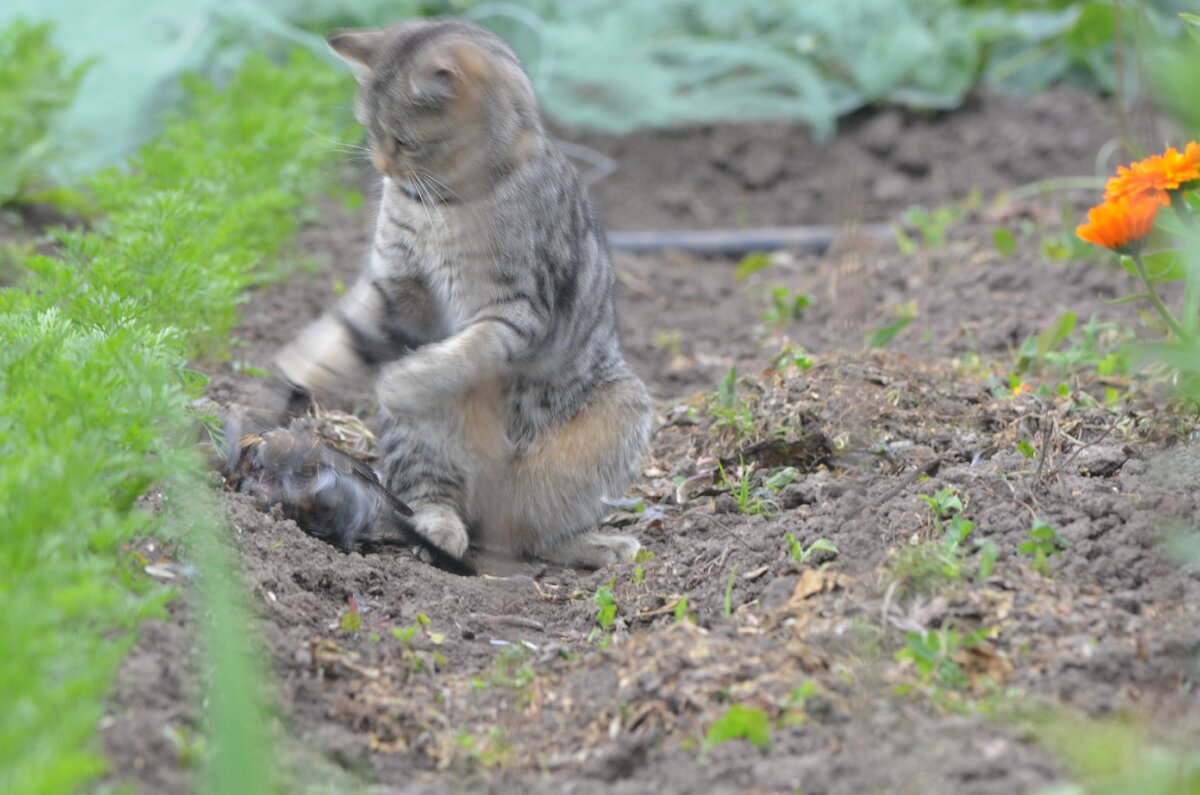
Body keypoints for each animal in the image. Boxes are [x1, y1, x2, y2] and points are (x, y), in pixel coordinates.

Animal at [271, 18, 652, 574]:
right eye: (368, 130)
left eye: (404, 141)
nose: (381, 165)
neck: (444, 204)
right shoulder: (401, 293)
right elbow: (348, 330)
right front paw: (301, 365)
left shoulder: (516, 311)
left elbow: (463, 352)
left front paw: (402, 380)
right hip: (423, 439)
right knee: (438, 499)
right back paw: (440, 529)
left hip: (615, 416)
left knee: (536, 532)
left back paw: (595, 545)